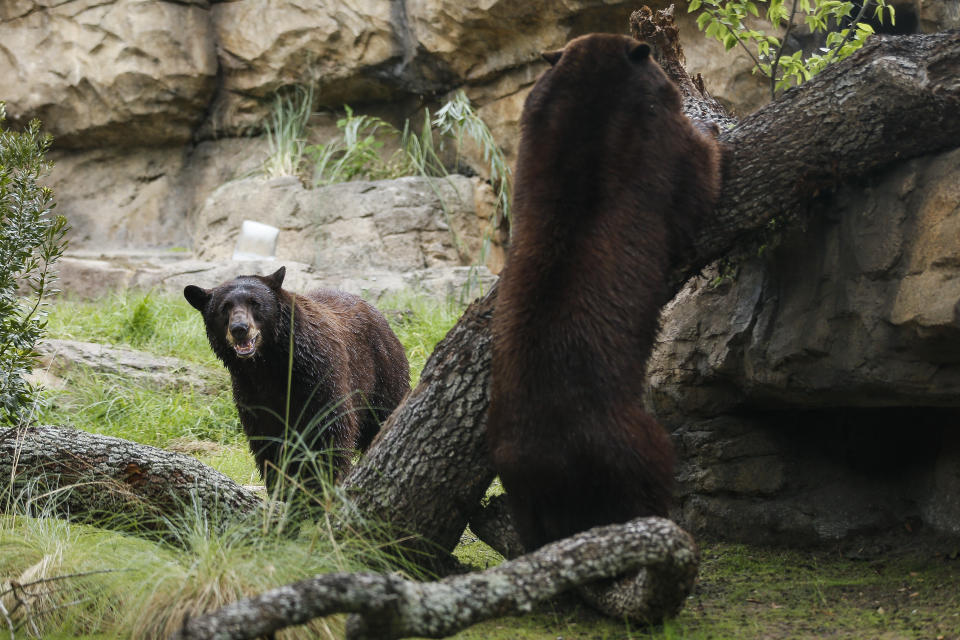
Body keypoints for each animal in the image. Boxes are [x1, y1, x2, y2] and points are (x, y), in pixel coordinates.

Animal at [186, 264, 410, 496]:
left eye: (255, 303)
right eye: (224, 307)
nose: (239, 328)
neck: (268, 367)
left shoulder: (320, 378)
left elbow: (330, 431)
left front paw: (323, 485)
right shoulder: (250, 393)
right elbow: (267, 443)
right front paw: (284, 489)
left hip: (383, 372)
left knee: (384, 414)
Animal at [488, 33, 720, 552]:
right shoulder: (656, 137)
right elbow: (698, 176)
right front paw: (715, 134)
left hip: (515, 473)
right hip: (626, 439)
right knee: (649, 471)